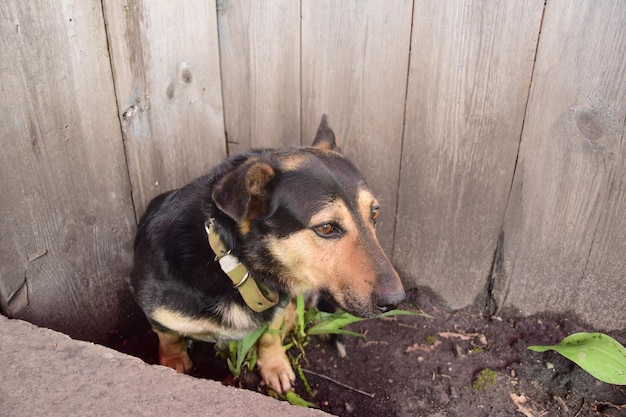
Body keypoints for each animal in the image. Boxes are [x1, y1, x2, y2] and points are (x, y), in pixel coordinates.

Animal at [131, 115, 404, 392]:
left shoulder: (278, 306)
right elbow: (167, 336)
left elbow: (269, 337)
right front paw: (173, 362)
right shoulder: (157, 312)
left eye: (375, 214)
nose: (397, 301)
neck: (236, 266)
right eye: (326, 228)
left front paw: (274, 365)